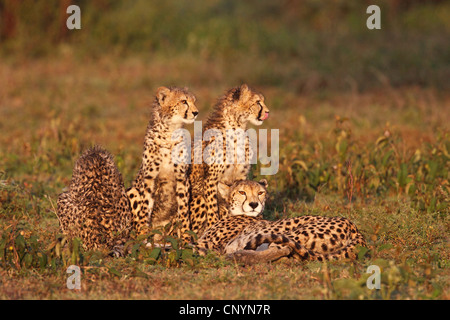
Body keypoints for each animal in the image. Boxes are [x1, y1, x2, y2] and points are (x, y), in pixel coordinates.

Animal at [125, 86, 198, 239]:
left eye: (194, 101)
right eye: (183, 101)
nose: (196, 112)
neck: (169, 132)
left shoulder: (182, 179)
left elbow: (183, 211)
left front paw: (186, 237)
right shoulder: (149, 178)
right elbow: (145, 206)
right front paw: (142, 235)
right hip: (131, 191)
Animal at [188, 84, 268, 236]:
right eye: (257, 102)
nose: (267, 112)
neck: (238, 127)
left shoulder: (240, 176)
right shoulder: (211, 179)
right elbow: (212, 207)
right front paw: (213, 224)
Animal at [196, 180, 366, 264]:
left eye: (260, 192)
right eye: (242, 192)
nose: (254, 204)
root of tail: (354, 227)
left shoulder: (210, 243)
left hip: (288, 232)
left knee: (284, 249)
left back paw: (239, 256)